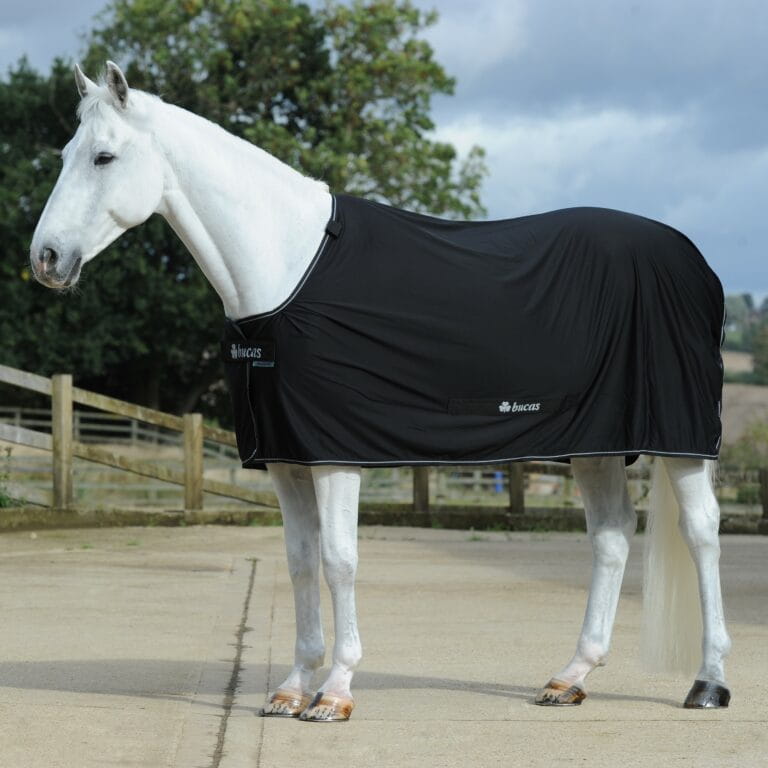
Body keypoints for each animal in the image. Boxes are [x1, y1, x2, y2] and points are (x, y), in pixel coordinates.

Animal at [29, 61, 731, 721]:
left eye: (104, 156)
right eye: (64, 154)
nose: (45, 259)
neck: (290, 267)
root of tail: (693, 259)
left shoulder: (335, 455)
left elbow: (340, 560)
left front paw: (335, 692)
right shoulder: (286, 458)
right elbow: (300, 559)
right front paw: (291, 688)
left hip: (680, 441)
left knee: (701, 531)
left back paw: (709, 682)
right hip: (595, 444)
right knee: (611, 536)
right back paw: (570, 678)